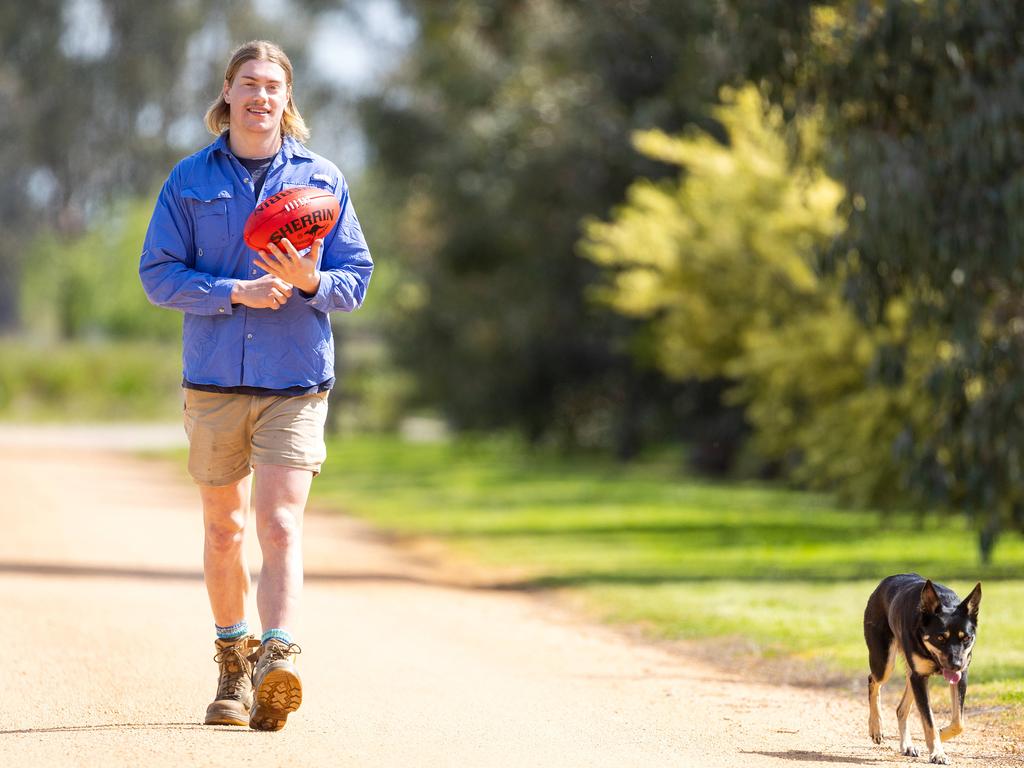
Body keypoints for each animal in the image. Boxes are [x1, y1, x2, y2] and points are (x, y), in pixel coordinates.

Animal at [864, 577, 983, 765]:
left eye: (966, 638)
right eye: (940, 637)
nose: (956, 665)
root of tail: (884, 582)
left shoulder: (959, 677)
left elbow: (959, 723)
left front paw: (940, 737)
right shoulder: (920, 677)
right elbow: (929, 722)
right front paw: (938, 753)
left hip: (912, 675)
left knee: (900, 709)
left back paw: (907, 746)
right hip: (885, 663)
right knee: (873, 680)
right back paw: (876, 727)